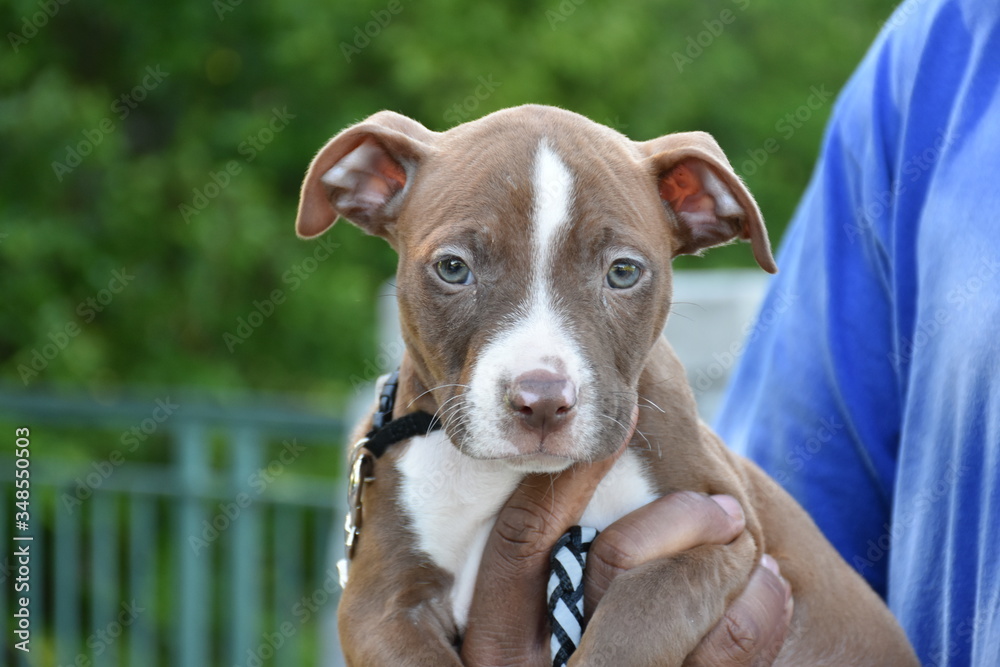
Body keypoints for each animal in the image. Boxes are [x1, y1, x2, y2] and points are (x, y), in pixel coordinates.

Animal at [292, 105, 916, 667]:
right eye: (452, 268)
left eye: (623, 272)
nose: (543, 402)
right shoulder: (379, 605)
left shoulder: (722, 534)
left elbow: (635, 619)